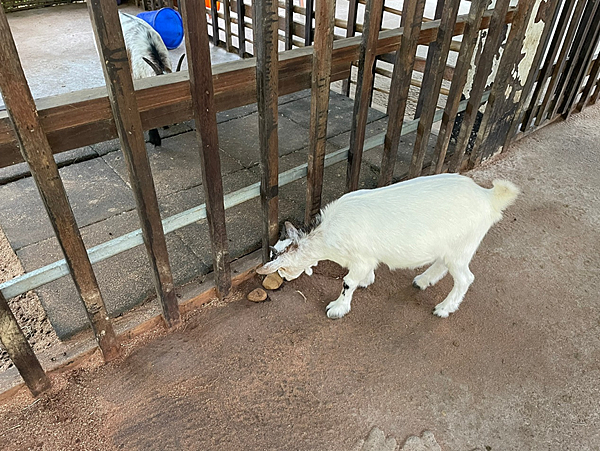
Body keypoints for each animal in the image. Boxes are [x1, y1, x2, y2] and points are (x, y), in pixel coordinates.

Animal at [258, 175, 520, 320]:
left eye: (281, 268)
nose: (284, 277)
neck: (327, 234)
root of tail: (489, 197)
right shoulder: (367, 257)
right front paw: (367, 280)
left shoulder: (360, 257)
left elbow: (347, 282)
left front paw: (337, 309)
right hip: (450, 245)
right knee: (442, 264)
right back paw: (423, 281)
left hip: (462, 247)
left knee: (465, 278)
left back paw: (444, 308)